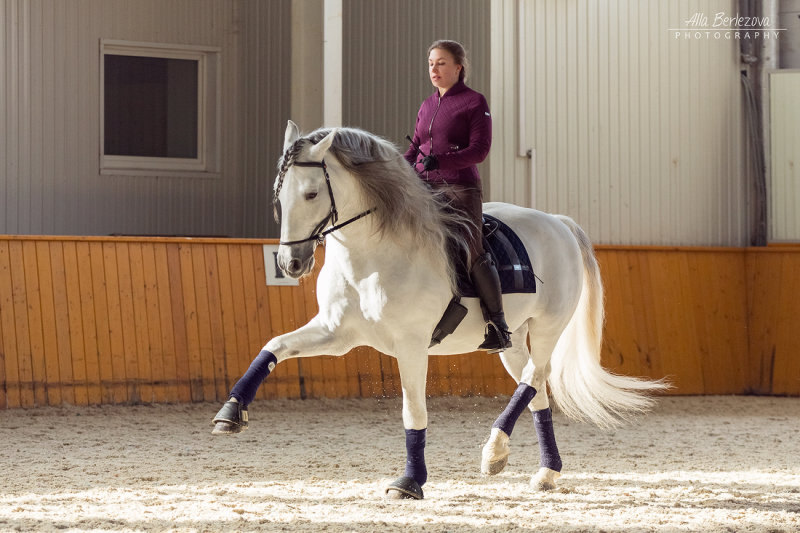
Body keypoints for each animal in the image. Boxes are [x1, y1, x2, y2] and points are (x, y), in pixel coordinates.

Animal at [214, 121, 668, 498]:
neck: (373, 255)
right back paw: (544, 472)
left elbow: (413, 410)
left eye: (311, 193)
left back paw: (494, 453)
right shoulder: (336, 333)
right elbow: (275, 345)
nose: (290, 264)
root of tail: (558, 223)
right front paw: (231, 412)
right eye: (279, 195)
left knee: (534, 378)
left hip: (547, 329)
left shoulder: (411, 345)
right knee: (534, 389)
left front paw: (410, 481)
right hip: (513, 341)